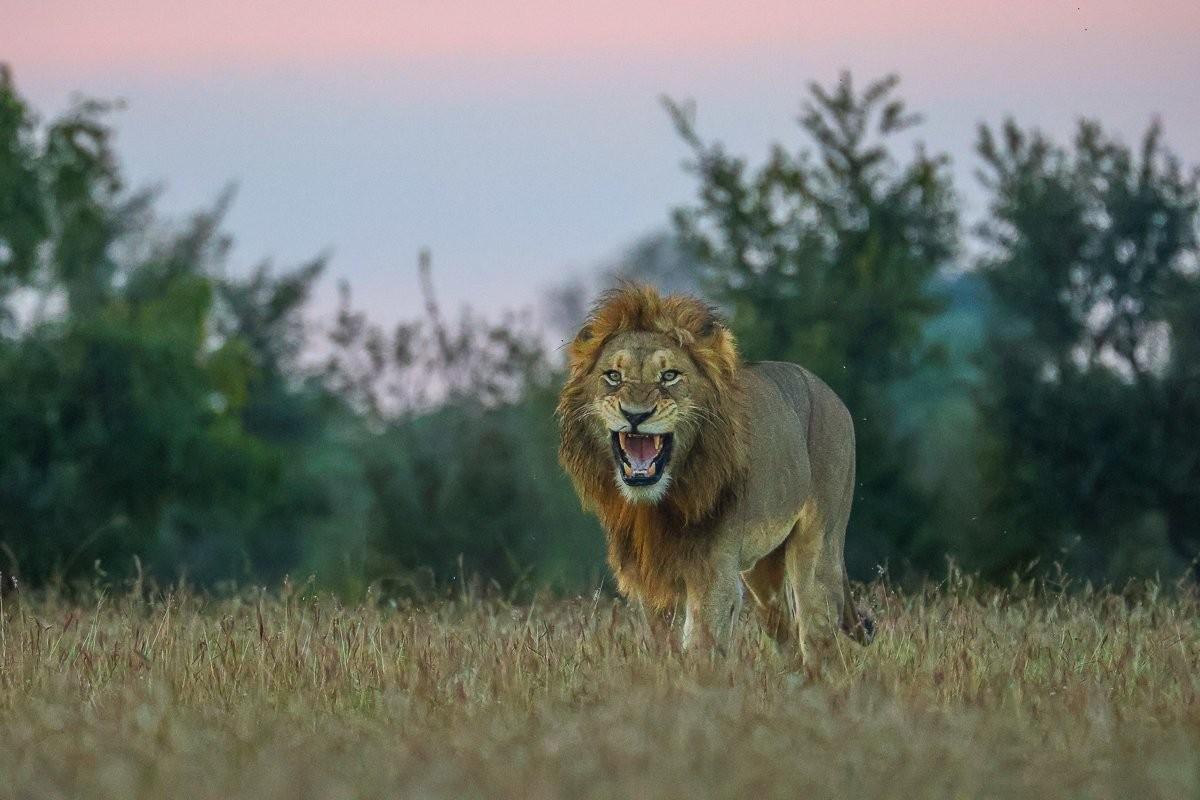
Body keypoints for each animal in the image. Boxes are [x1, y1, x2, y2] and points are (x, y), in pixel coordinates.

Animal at [557, 284, 873, 657]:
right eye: (613, 376)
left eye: (669, 376)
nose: (635, 414)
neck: (660, 502)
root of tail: (831, 394)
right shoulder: (648, 577)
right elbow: (659, 645)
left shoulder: (713, 574)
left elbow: (701, 643)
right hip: (764, 573)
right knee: (784, 631)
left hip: (818, 554)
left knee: (818, 637)